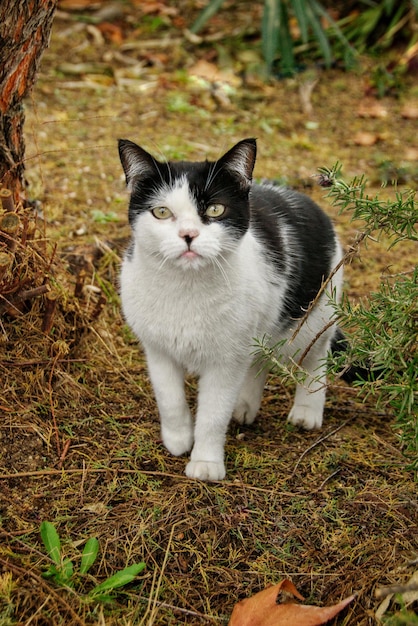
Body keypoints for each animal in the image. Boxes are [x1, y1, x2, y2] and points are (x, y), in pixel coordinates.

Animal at [116, 139, 342, 480]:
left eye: (215, 209)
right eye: (161, 212)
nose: (188, 235)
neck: (186, 290)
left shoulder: (225, 362)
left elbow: (212, 415)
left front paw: (205, 463)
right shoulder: (158, 350)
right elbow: (169, 400)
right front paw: (178, 439)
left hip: (312, 319)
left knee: (316, 356)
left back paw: (306, 411)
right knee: (258, 361)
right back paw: (245, 405)